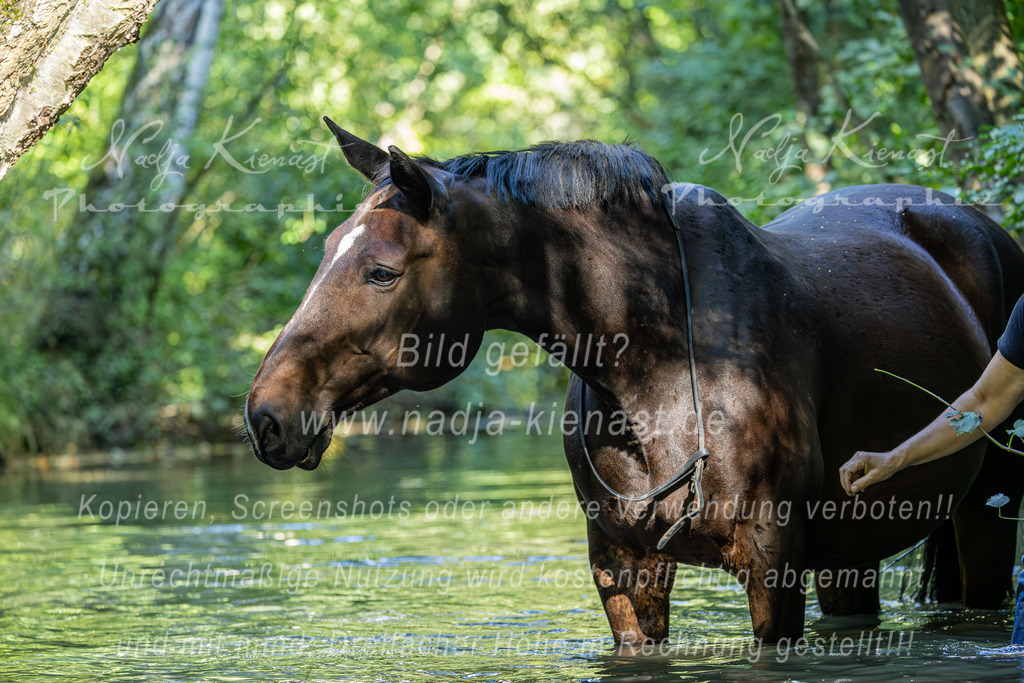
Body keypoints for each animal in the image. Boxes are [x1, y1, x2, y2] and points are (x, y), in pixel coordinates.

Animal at [244, 118, 1024, 645]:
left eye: (381, 271)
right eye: (326, 249)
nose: (266, 416)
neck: (666, 363)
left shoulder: (773, 563)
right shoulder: (622, 566)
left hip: (986, 512)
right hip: (850, 554)